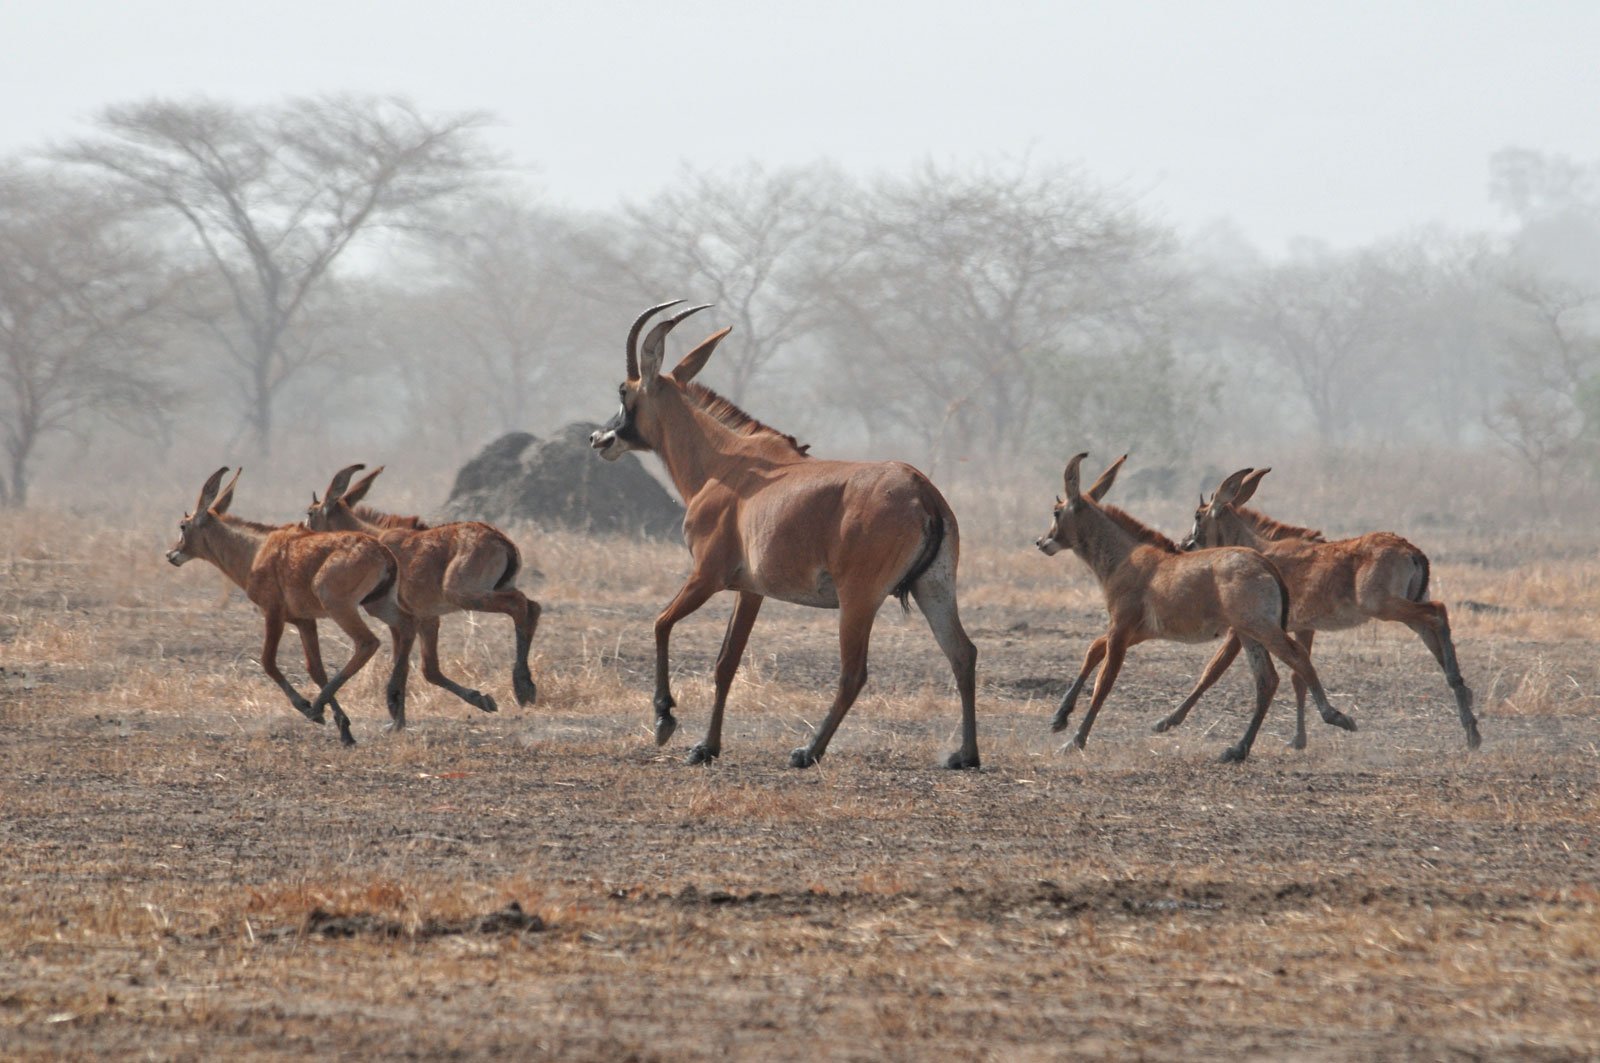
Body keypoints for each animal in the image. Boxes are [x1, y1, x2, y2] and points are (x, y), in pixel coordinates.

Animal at [166, 464, 406, 746]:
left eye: (183, 525)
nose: (171, 554)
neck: (253, 551)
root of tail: (383, 552)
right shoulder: (304, 620)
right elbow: (316, 669)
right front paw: (344, 728)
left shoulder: (273, 613)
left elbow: (268, 661)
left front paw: (308, 707)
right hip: (378, 604)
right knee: (406, 629)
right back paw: (393, 703)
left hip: (338, 604)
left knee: (368, 642)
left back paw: (320, 704)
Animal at [302, 464, 540, 730]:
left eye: (311, 512)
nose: (304, 533)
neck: (372, 535)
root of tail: (502, 541)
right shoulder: (427, 618)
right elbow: (428, 669)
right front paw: (480, 699)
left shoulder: (402, 616)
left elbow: (405, 663)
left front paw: (395, 713)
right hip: (495, 589)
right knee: (532, 606)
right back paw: (526, 686)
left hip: (463, 593)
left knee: (519, 605)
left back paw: (522, 687)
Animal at [592, 302, 979, 768]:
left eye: (623, 391)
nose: (598, 438)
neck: (725, 463)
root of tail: (924, 493)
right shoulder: (750, 591)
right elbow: (726, 662)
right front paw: (706, 746)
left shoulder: (706, 576)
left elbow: (660, 623)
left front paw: (665, 720)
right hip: (934, 588)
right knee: (962, 653)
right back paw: (966, 755)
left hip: (858, 599)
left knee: (854, 673)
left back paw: (807, 751)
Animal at [1030, 451, 1356, 758]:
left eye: (1056, 511)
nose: (1041, 541)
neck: (1125, 556)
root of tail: (1266, 564)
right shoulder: (1140, 631)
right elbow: (1094, 650)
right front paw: (1059, 718)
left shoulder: (1121, 627)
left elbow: (1104, 682)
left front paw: (1075, 741)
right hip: (1248, 633)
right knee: (1267, 680)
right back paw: (1237, 750)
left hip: (1261, 626)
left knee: (1297, 657)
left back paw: (1336, 716)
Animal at [1164, 470, 1484, 752]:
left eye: (1197, 515)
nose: (1183, 544)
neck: (1257, 548)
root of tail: (1413, 552)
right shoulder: (1302, 626)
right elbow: (1298, 677)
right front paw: (1298, 739)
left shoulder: (1248, 625)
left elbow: (1213, 669)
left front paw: (1169, 720)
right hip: (1406, 610)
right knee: (1435, 631)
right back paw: (1470, 723)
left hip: (1383, 605)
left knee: (1438, 611)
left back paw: (1462, 696)